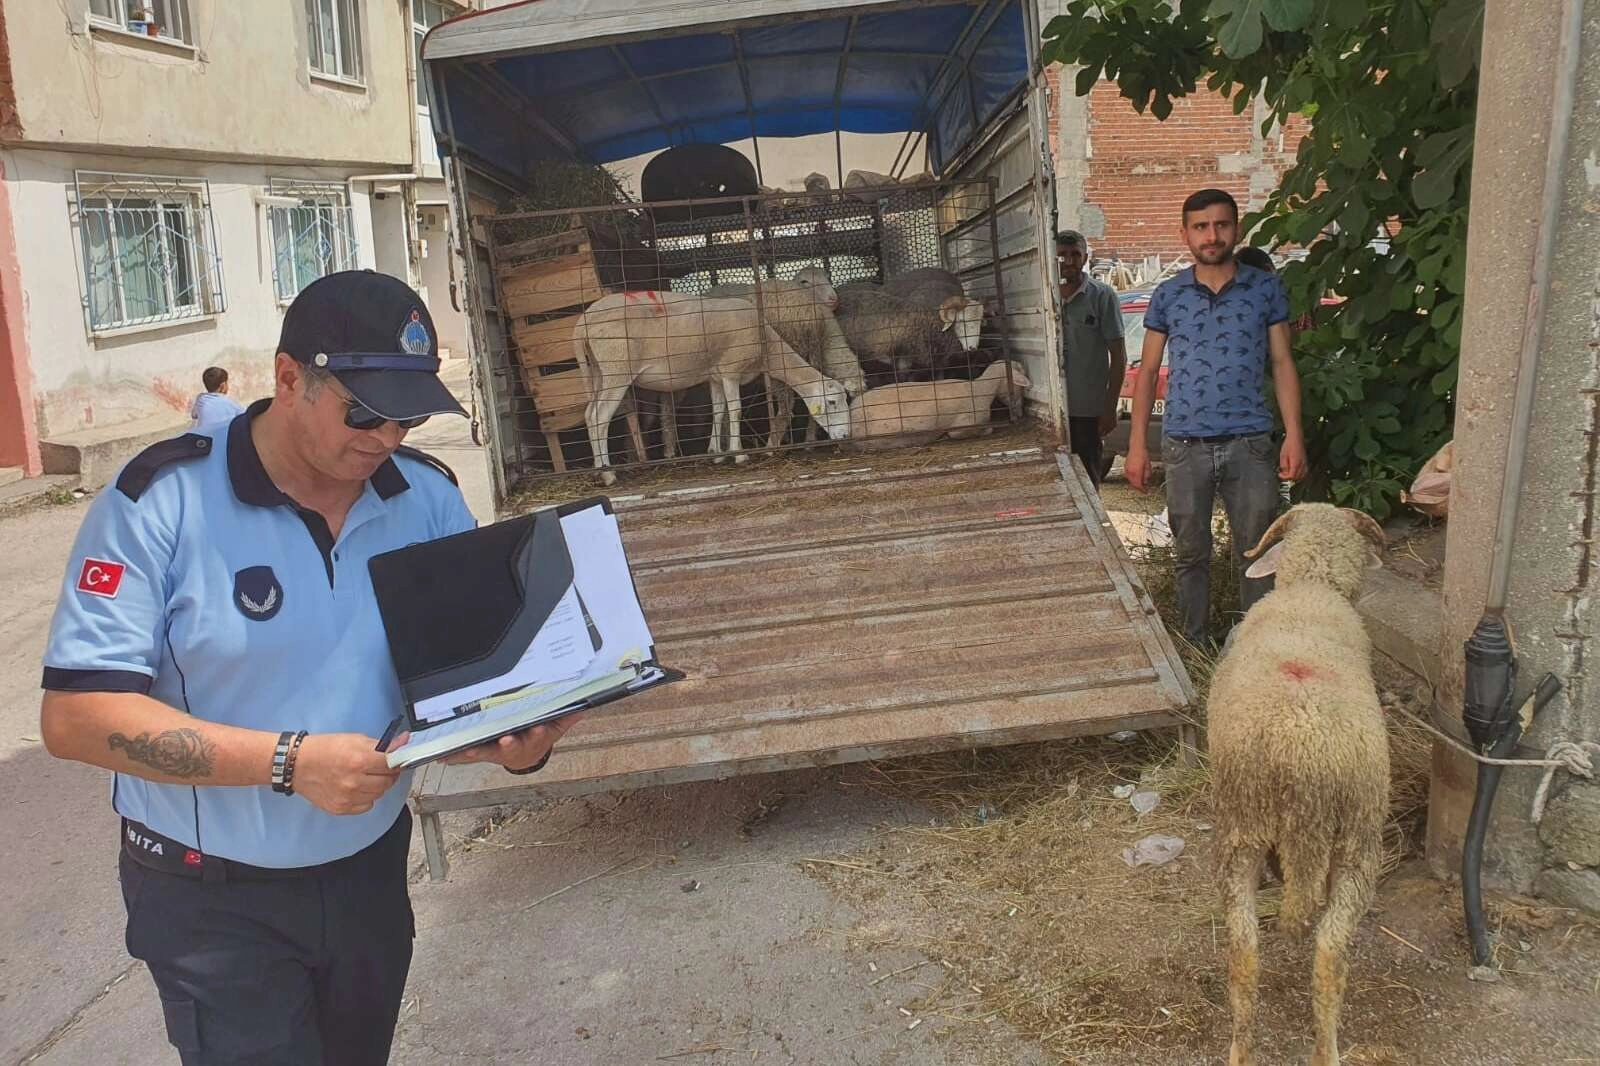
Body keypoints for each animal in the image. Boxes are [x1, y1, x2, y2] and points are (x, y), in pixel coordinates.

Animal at [1209, 499, 1388, 1062]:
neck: (1313, 587)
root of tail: (1306, 757)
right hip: (1355, 841)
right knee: (1327, 958)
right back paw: (1324, 1050)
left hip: (1245, 832)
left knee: (1246, 959)